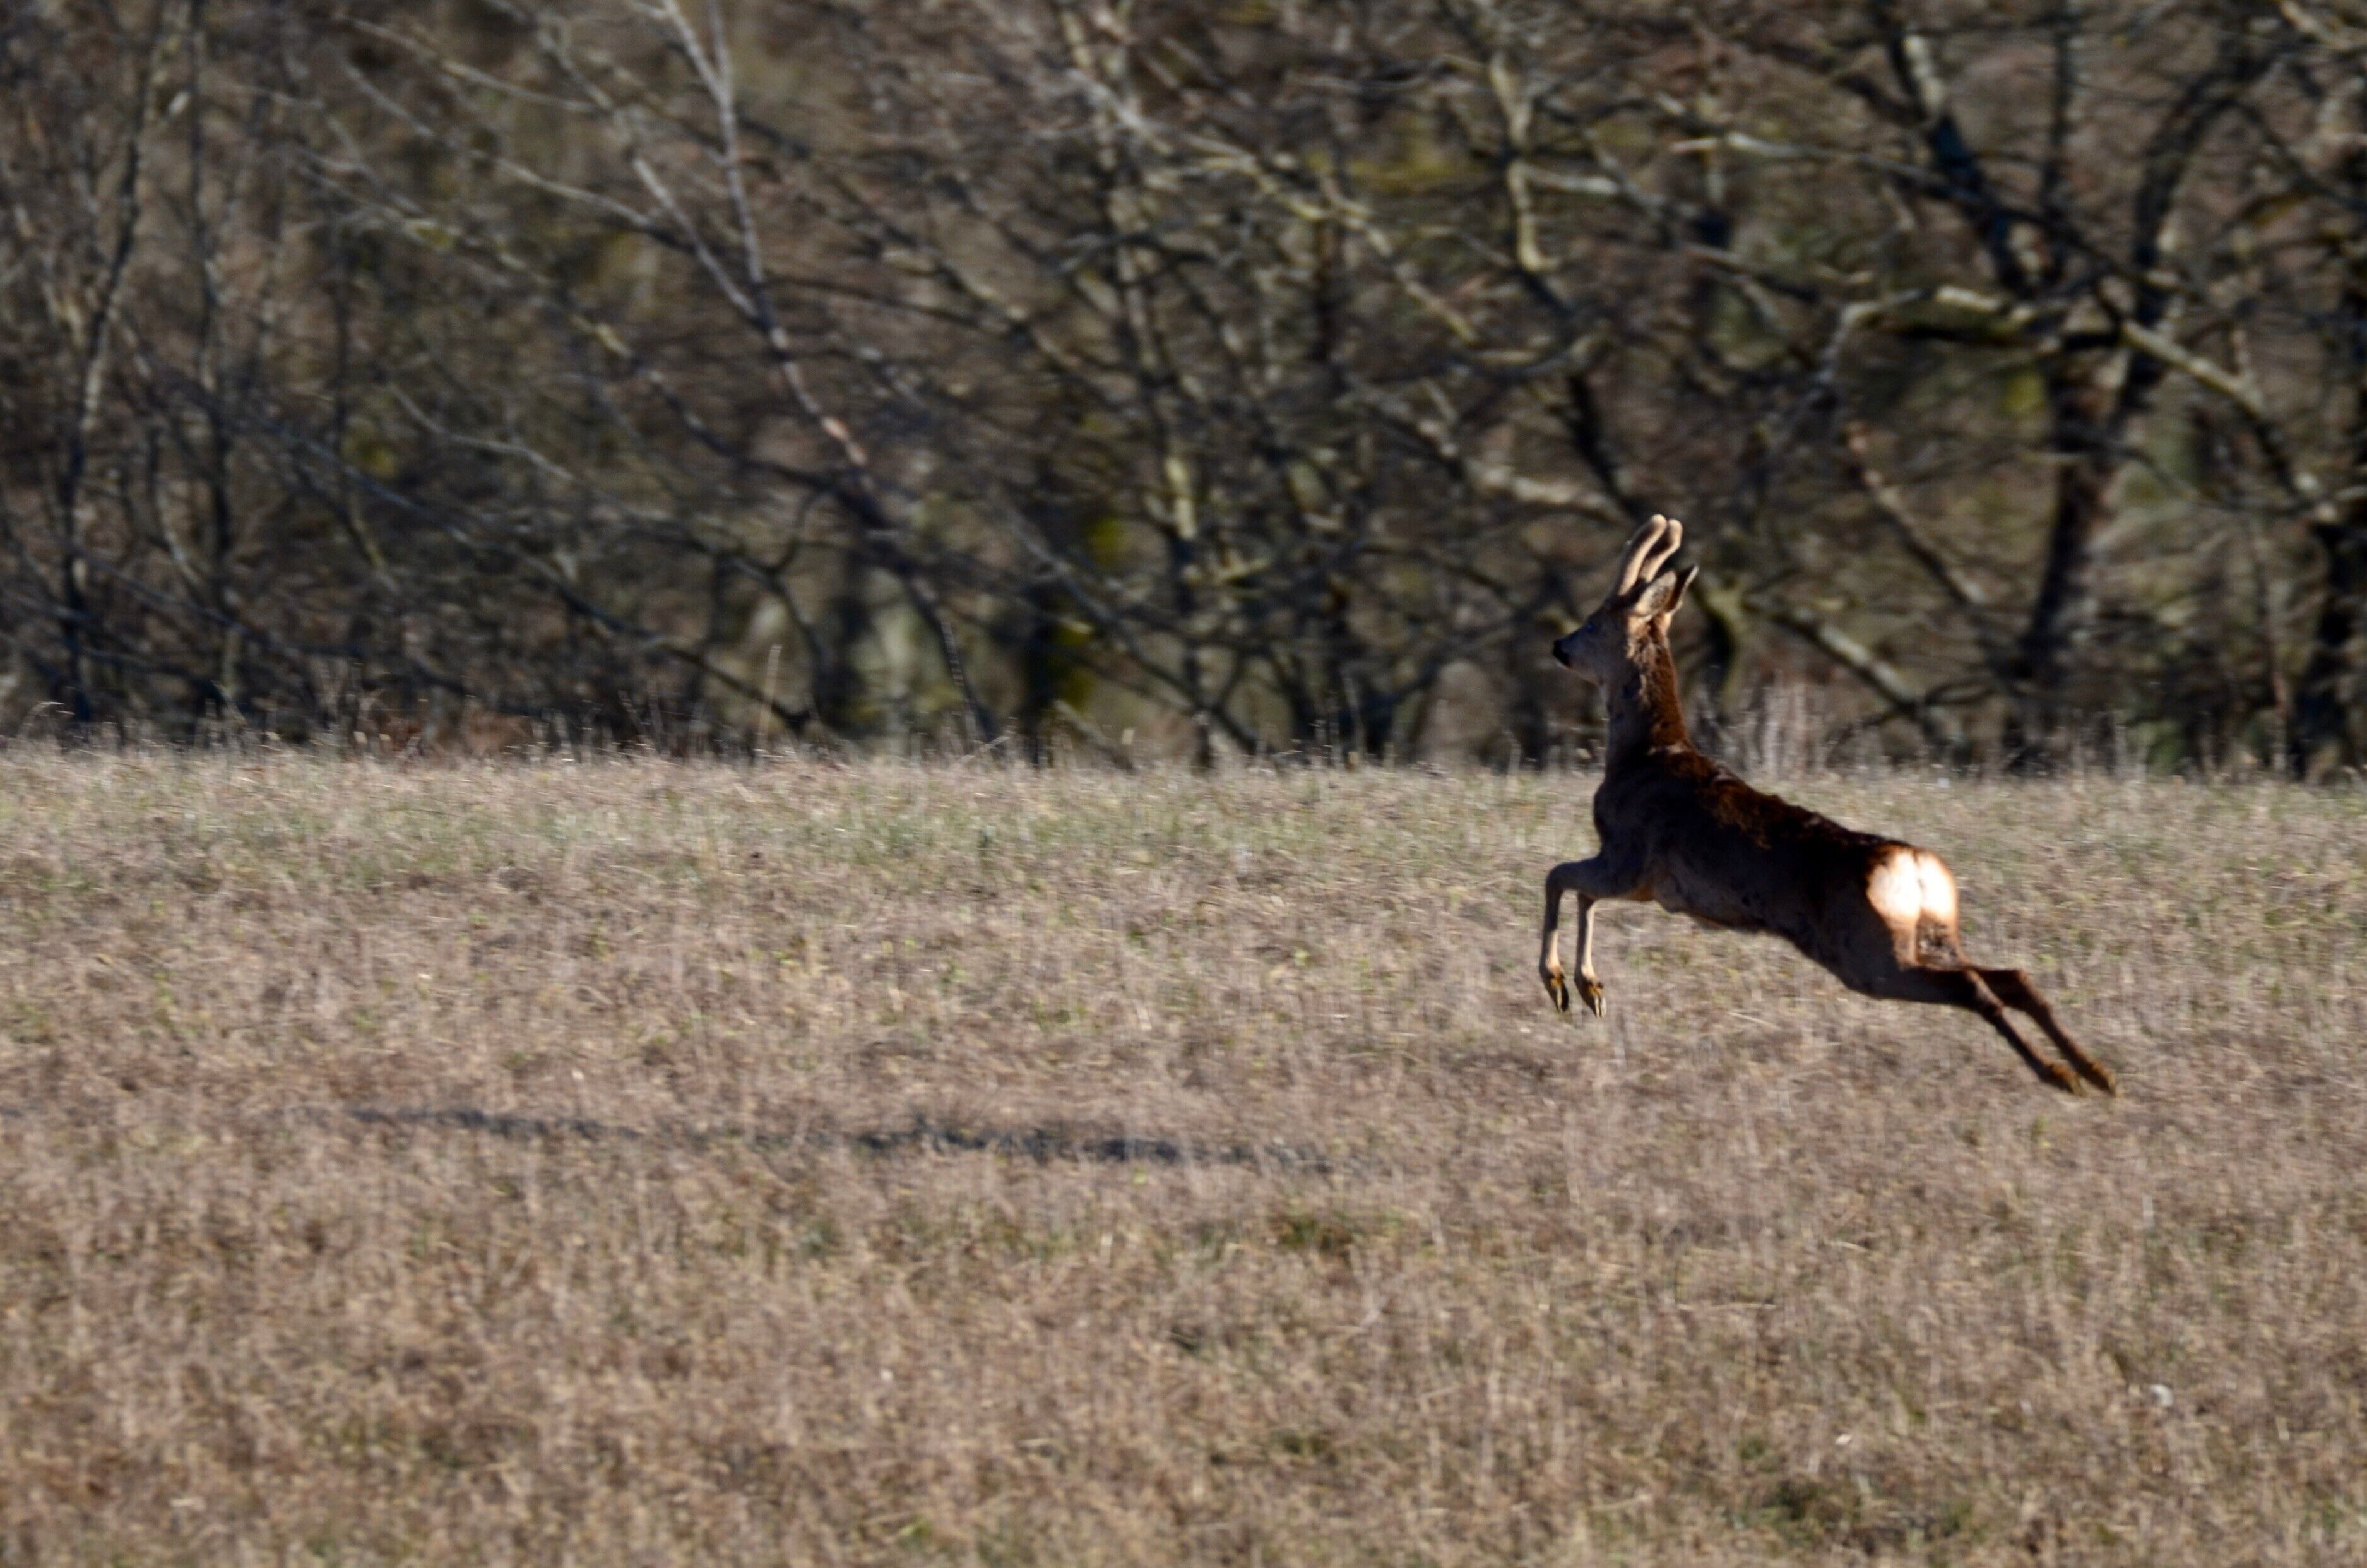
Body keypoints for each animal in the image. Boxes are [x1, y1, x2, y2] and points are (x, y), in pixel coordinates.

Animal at [1537, 514, 2118, 1096]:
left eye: (1593, 623)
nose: (1559, 645)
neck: (1643, 755)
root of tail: (1914, 868)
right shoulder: (1636, 877)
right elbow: (1580, 892)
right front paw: (1591, 990)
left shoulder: (1632, 860)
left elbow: (1558, 876)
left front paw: (1562, 983)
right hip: (1931, 937)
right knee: (2012, 977)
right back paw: (2098, 1072)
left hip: (1866, 953)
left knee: (1974, 987)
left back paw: (2060, 1075)